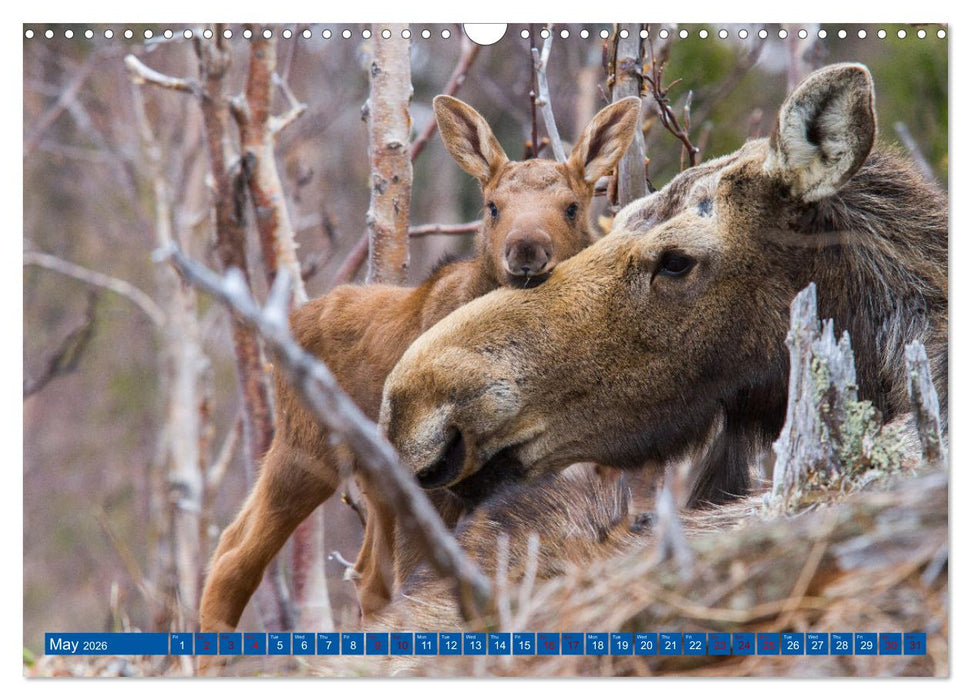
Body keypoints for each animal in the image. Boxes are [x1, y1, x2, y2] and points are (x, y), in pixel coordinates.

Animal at [197, 95, 642, 634]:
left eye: (572, 207)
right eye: (493, 206)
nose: (526, 251)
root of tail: (288, 323)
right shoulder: (431, 477)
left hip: (369, 479)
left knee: (360, 575)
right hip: (307, 448)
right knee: (234, 559)